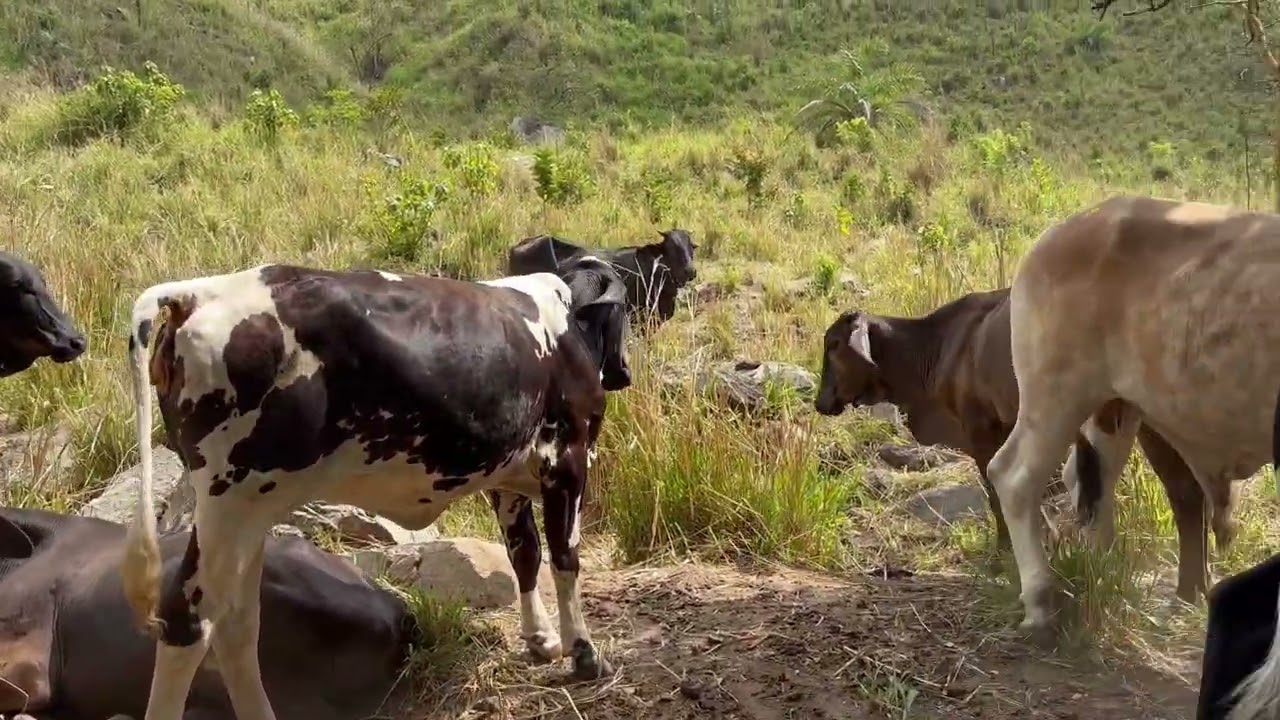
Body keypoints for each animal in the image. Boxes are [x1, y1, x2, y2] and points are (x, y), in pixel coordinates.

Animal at [117, 256, 631, 720]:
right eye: (625, 305)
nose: (624, 372)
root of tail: (197, 292)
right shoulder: (567, 459)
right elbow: (564, 558)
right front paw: (584, 655)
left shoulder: (508, 477)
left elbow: (525, 553)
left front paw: (541, 640)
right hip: (228, 502)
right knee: (189, 619)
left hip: (247, 512)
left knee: (235, 623)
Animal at [812, 287, 1214, 602]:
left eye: (833, 345)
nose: (820, 402)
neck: (939, 349)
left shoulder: (982, 430)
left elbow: (995, 495)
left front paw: (1005, 556)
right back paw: (1195, 589)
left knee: (1184, 494)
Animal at [982, 195, 1280, 666]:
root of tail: (1063, 232)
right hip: (1055, 396)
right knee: (1014, 476)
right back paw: (1042, 604)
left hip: (1116, 408)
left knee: (1090, 482)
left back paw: (1106, 574)